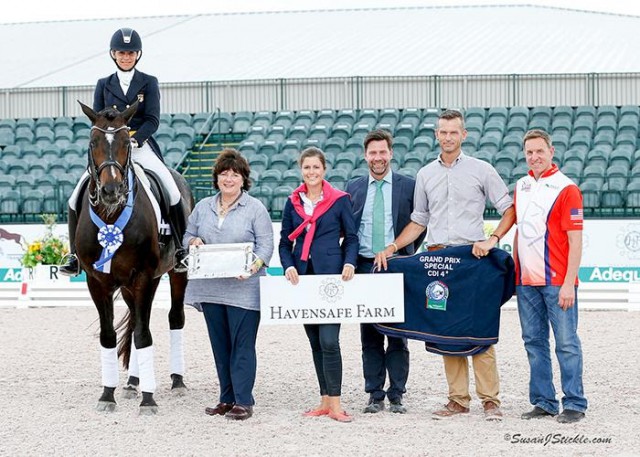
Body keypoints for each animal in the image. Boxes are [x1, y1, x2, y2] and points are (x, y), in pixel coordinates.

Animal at [74, 101, 192, 416]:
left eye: (127, 143)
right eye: (93, 142)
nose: (111, 191)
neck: (111, 215)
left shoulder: (144, 277)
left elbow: (143, 334)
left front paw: (149, 400)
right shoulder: (97, 281)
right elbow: (109, 335)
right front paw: (108, 394)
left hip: (175, 273)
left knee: (175, 318)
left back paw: (177, 381)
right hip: (129, 286)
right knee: (136, 321)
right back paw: (131, 382)